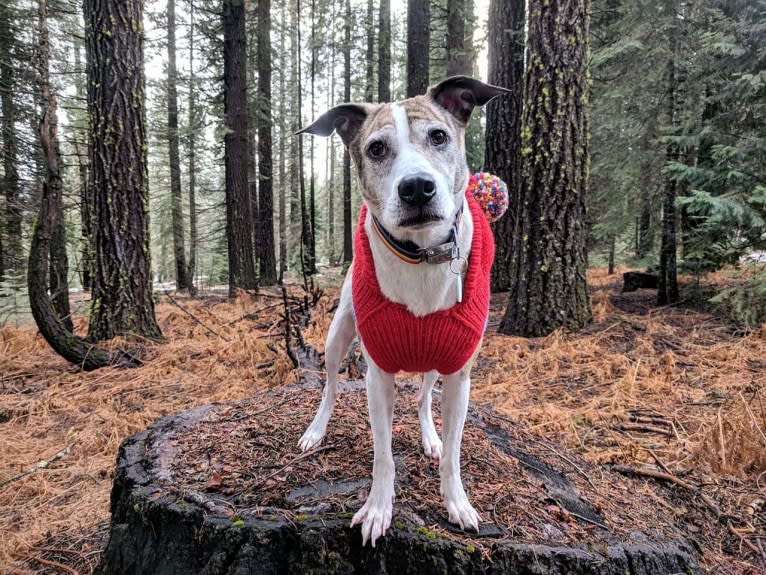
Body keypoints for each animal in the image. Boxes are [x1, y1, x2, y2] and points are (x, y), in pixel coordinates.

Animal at [298, 77, 510, 548]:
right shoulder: (378, 375)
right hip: (339, 333)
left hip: (435, 357)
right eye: (376, 148)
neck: (423, 255)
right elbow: (383, 453)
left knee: (423, 397)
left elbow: (454, 450)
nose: (416, 187)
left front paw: (457, 501)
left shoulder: (459, 373)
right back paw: (316, 430)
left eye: (439, 136)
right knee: (330, 386)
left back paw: (429, 435)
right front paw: (378, 508)